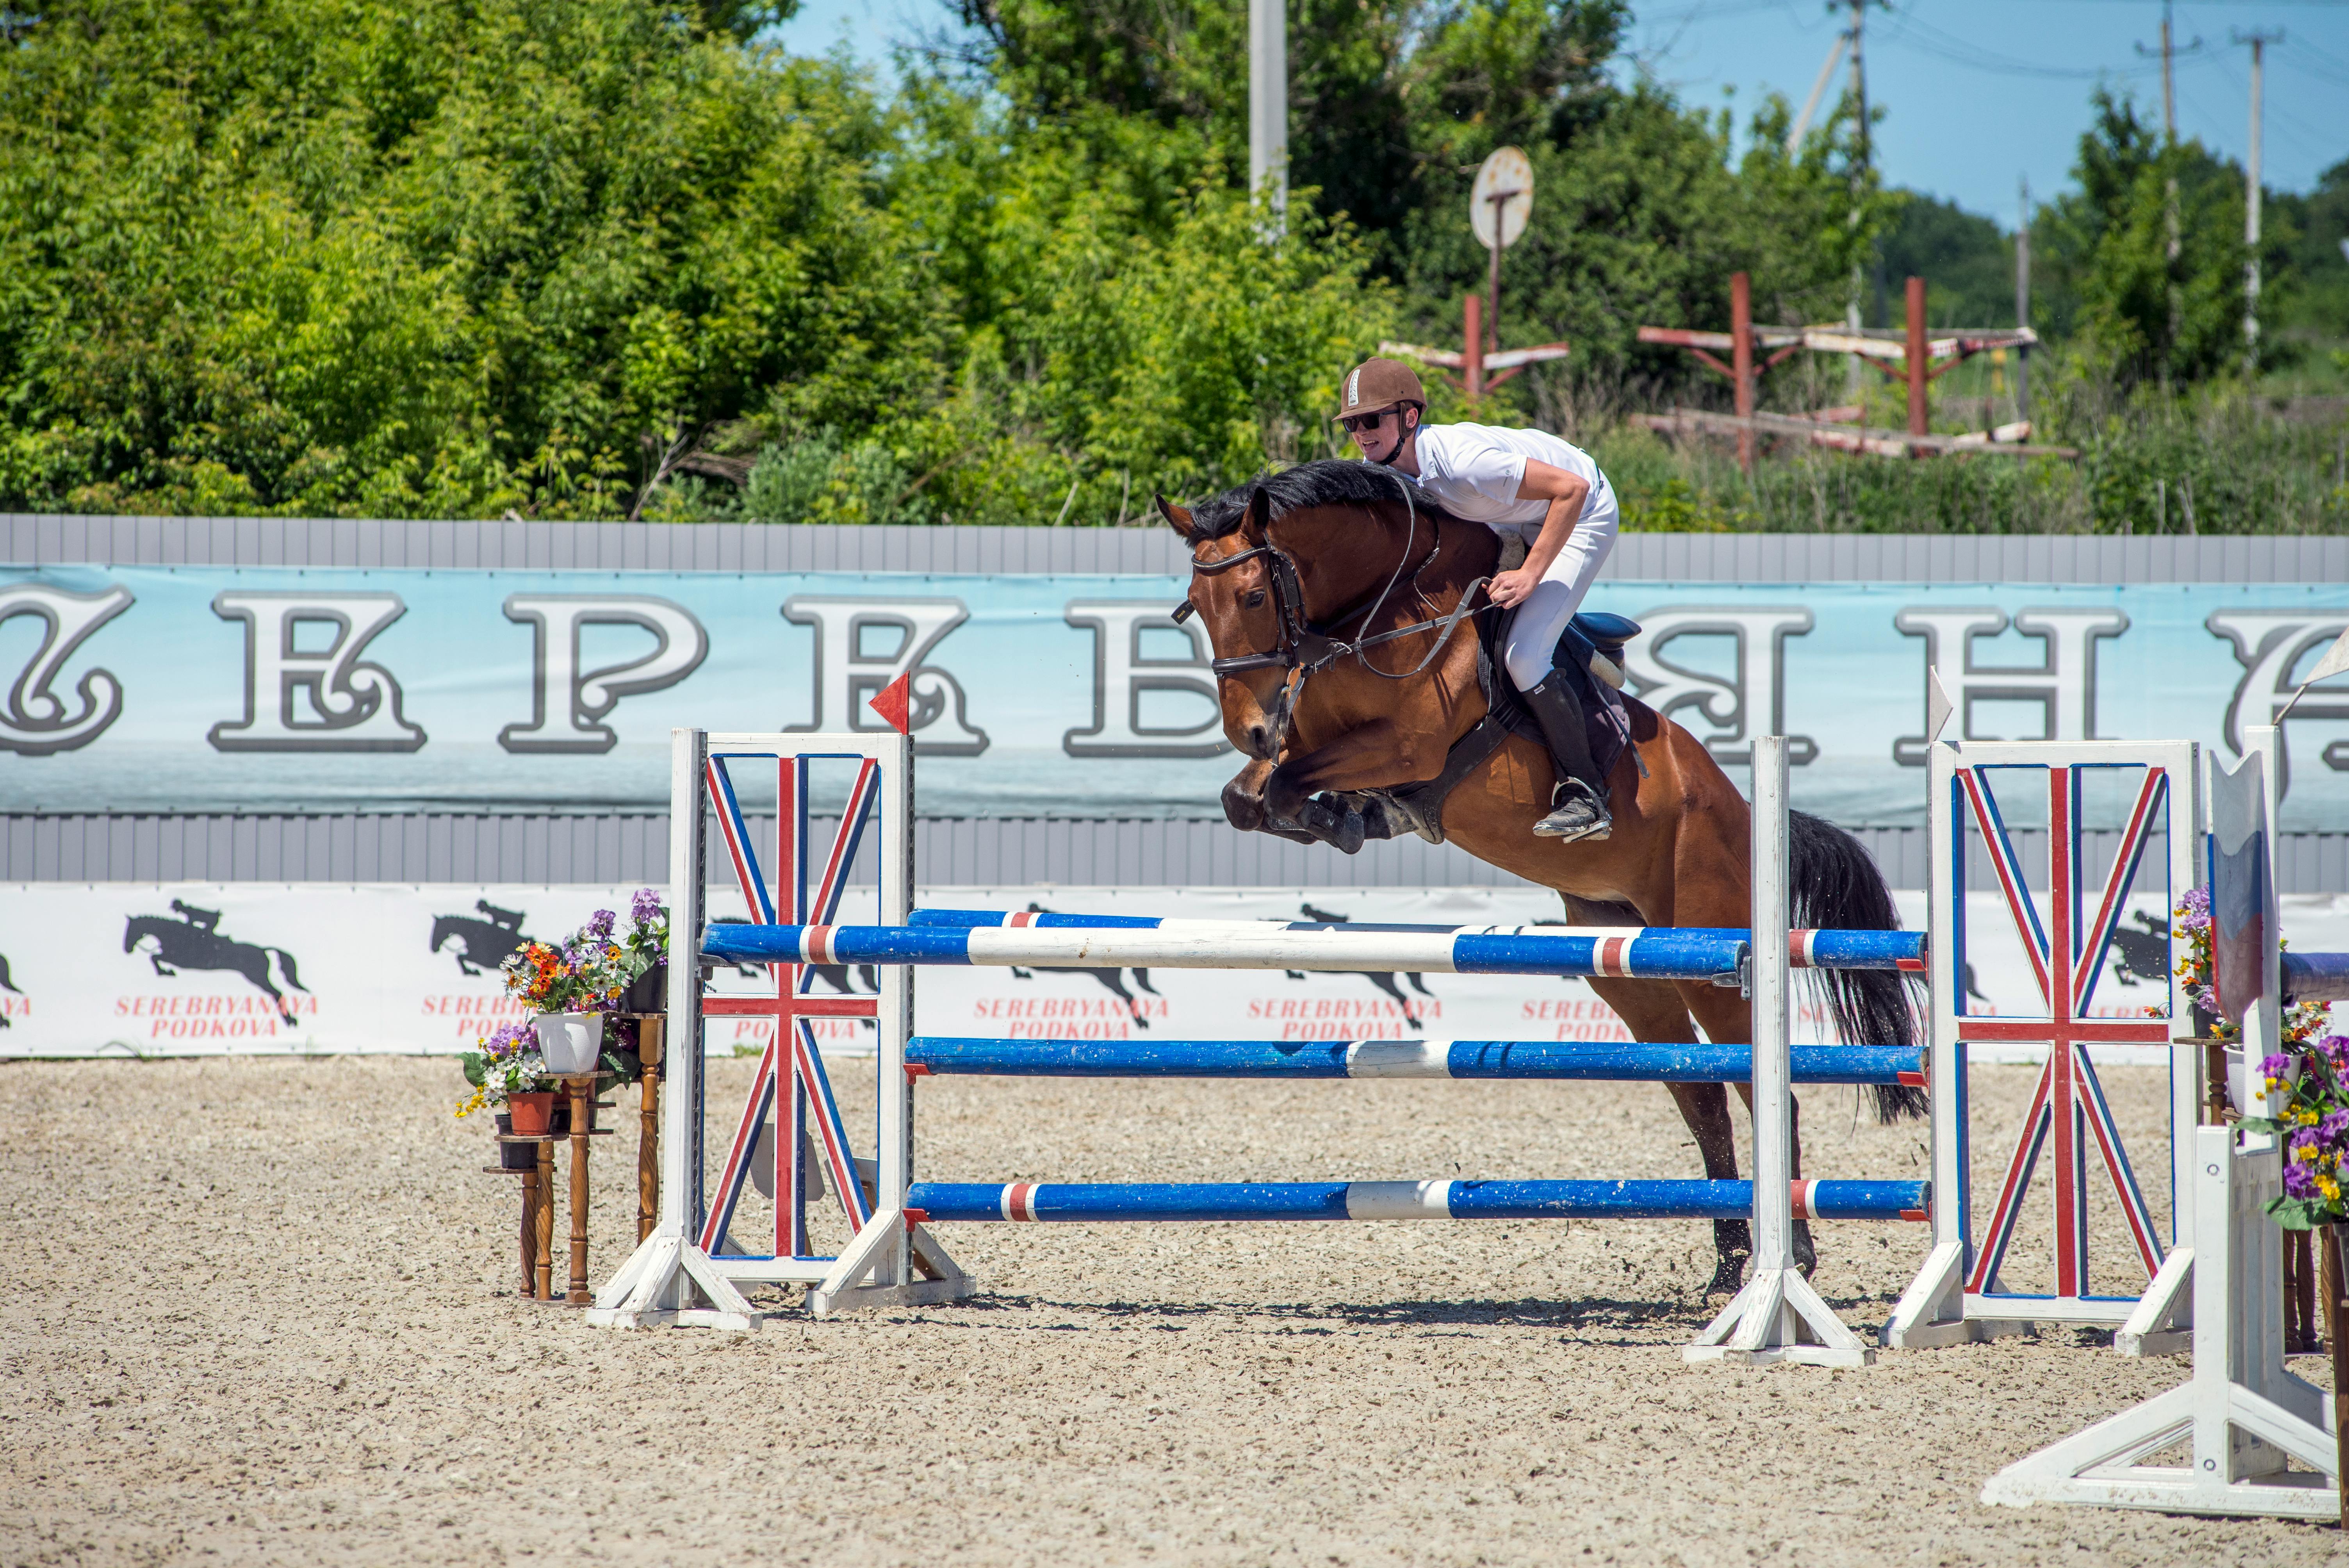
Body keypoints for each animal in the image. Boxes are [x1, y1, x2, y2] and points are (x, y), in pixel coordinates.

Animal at [1160, 460, 1926, 1295]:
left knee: (1761, 1088)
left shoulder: (1406, 745)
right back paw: (1728, 1265)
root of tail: (1745, 812)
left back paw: (1792, 1259)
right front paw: (1345, 816)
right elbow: (1252, 796)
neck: (1374, 615)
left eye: (1254, 597)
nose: (1246, 728)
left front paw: (1342, 814)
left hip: (1710, 956)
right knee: (1698, 1093)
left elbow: (1289, 783)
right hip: (1622, 960)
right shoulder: (1310, 739)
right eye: (1193, 606)